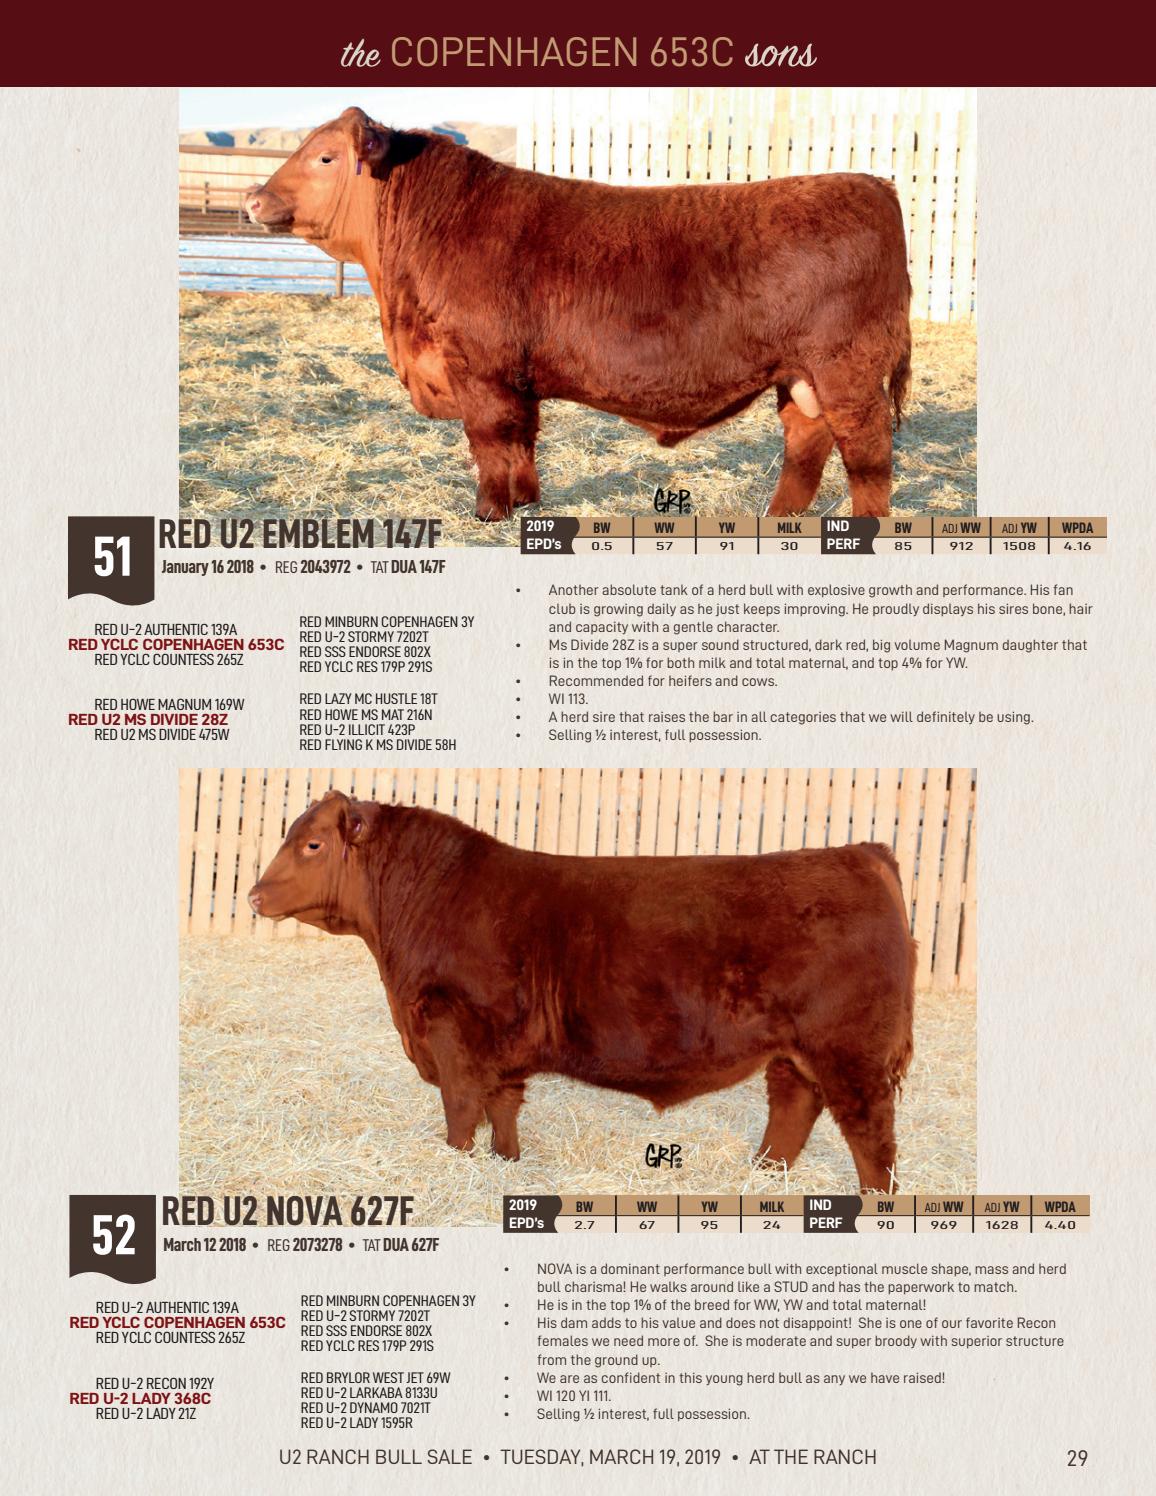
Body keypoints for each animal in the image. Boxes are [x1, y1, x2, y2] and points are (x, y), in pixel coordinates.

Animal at [244, 108, 912, 522]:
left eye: (325, 158)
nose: (252, 198)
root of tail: (875, 184)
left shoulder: (479, 370)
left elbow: (490, 442)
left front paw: (487, 512)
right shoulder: (515, 378)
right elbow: (523, 441)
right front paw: (526, 503)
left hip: (847, 371)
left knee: (867, 454)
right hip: (798, 376)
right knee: (807, 442)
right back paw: (777, 517)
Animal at [248, 791, 916, 1191]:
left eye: (312, 844)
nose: (253, 896)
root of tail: (863, 852)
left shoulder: (452, 1027)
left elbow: (461, 1108)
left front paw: (459, 1163)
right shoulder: (500, 1045)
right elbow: (503, 1105)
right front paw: (507, 1163)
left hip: (850, 1051)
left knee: (870, 1133)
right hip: (795, 1050)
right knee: (793, 1107)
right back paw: (763, 1176)